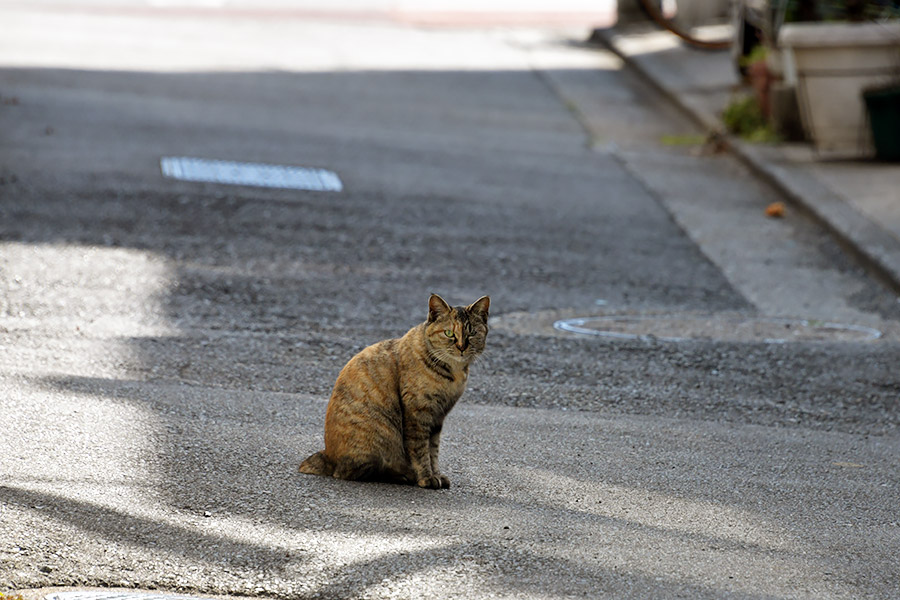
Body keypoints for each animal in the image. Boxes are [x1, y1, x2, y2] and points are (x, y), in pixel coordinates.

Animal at [298, 294, 488, 488]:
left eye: (472, 333)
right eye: (449, 333)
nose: (462, 347)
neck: (453, 372)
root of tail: (327, 455)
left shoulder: (438, 417)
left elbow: (433, 451)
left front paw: (437, 474)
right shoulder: (417, 414)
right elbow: (421, 450)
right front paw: (426, 477)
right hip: (382, 434)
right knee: (353, 472)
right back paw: (403, 476)